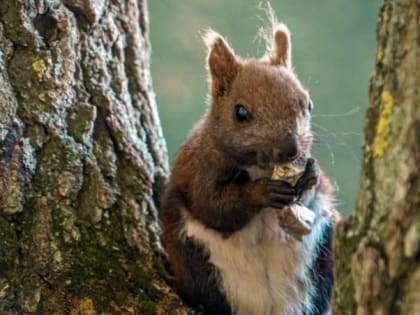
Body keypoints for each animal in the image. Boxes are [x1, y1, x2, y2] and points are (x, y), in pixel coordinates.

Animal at [159, 20, 340, 315]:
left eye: (308, 104)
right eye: (240, 112)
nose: (290, 149)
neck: (261, 168)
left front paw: (308, 178)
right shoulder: (200, 171)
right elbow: (215, 205)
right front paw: (262, 192)